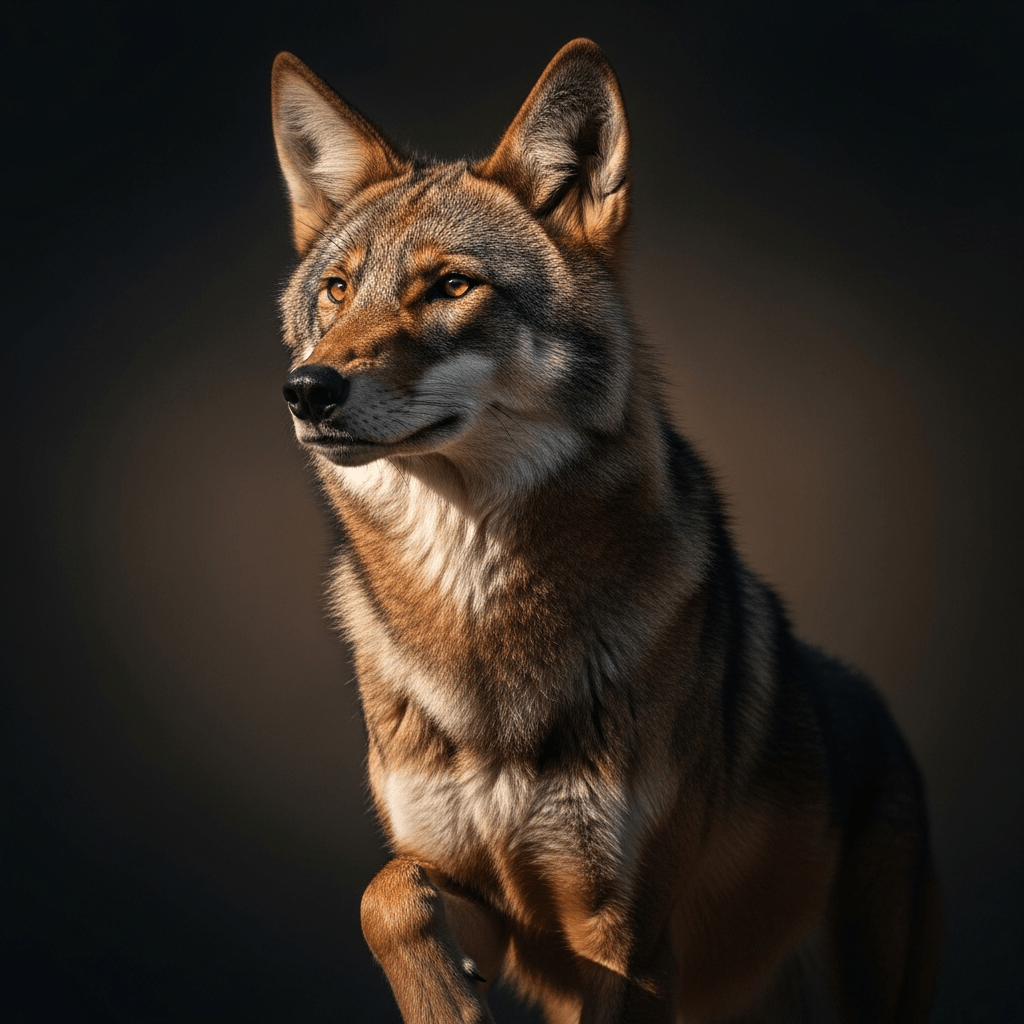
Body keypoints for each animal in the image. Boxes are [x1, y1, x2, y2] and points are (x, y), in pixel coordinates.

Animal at [270, 38, 941, 1024]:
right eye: (337, 290)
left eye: (452, 286)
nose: (308, 390)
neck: (479, 617)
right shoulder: (490, 905)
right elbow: (386, 893)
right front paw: (446, 1001)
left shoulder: (623, 934)